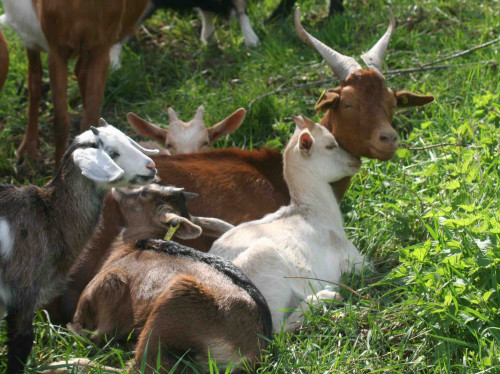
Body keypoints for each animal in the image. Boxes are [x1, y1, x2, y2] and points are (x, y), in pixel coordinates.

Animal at [209, 115, 370, 332]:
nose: (356, 161)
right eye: (330, 145)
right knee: (277, 330)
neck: (313, 211)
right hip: (266, 267)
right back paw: (327, 296)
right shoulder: (352, 259)